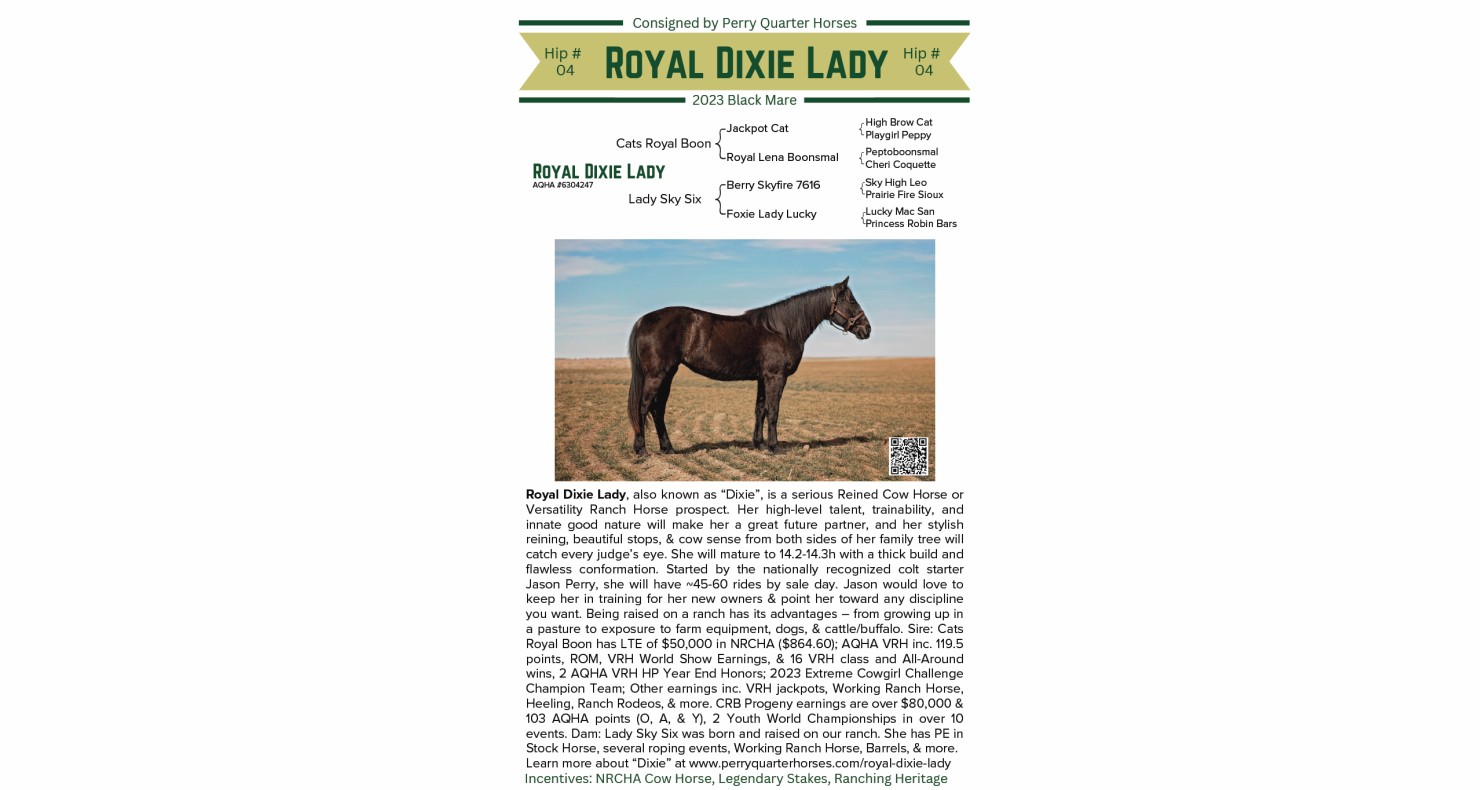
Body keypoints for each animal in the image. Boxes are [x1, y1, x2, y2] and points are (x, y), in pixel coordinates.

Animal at [627, 277, 871, 455]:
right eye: (851, 301)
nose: (866, 329)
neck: (782, 329)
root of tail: (644, 320)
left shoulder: (763, 378)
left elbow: (760, 410)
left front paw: (759, 444)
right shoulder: (775, 376)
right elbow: (773, 411)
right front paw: (774, 447)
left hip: (668, 374)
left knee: (658, 410)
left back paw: (668, 448)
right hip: (657, 375)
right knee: (643, 407)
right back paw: (641, 450)